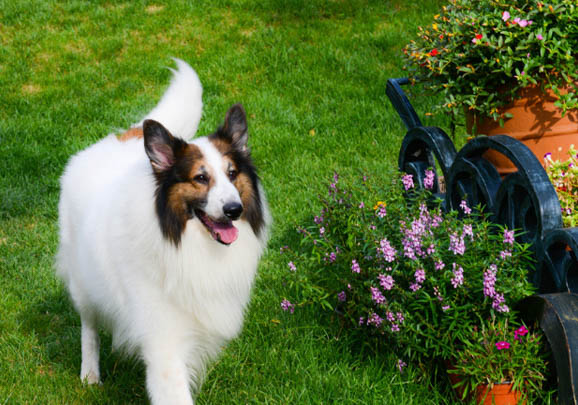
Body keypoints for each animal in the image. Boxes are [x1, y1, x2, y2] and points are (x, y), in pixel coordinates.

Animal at [55, 58, 270, 402]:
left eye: (232, 173)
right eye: (200, 178)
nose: (234, 210)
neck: (184, 241)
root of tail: (123, 137)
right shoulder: (164, 344)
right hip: (83, 283)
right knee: (88, 326)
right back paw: (89, 372)